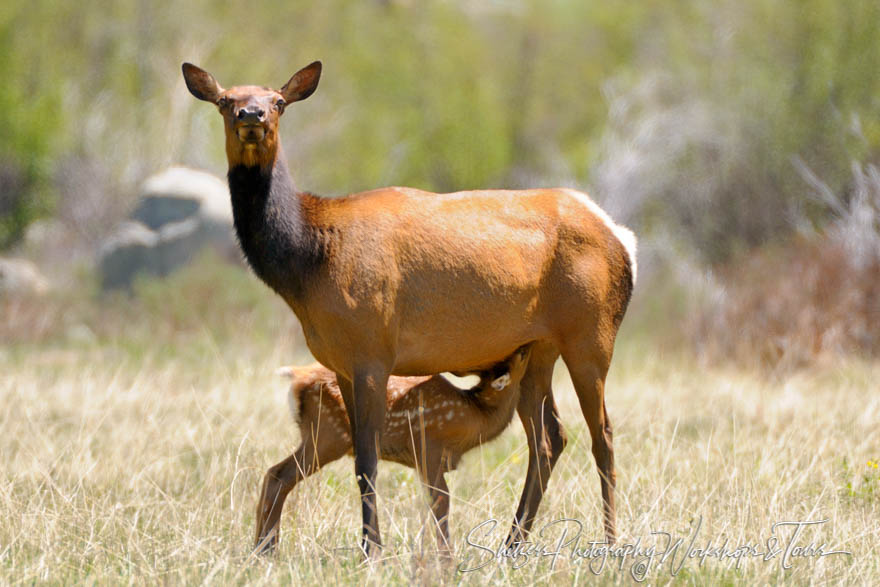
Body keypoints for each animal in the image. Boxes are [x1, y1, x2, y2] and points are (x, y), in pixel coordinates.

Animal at [251, 344, 532, 552]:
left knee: (274, 475)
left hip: (317, 437)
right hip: (327, 436)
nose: (526, 344)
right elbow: (441, 501)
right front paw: (445, 559)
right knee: (280, 475)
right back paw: (267, 548)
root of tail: (298, 377)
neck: (473, 416)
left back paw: (263, 549)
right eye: (518, 356)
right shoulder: (428, 450)